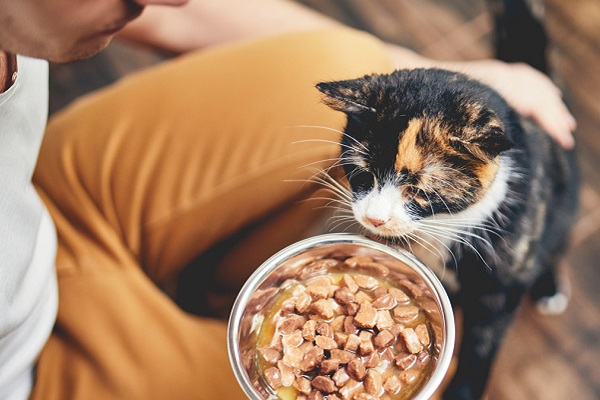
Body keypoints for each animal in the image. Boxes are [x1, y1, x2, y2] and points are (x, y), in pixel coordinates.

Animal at [316, 67, 580, 398]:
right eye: (363, 173)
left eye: (417, 190)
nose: (374, 219)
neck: (440, 225)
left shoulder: (499, 285)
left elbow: (482, 342)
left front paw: (462, 390)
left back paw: (548, 286)